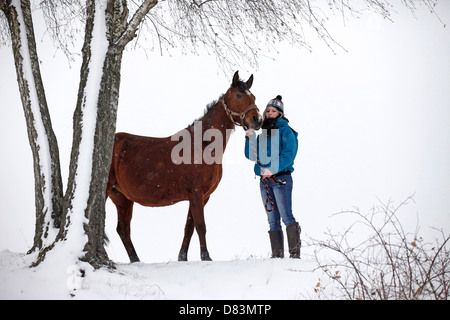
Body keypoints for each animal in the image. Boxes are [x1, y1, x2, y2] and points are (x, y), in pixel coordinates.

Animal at [106, 71, 262, 262]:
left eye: (253, 96)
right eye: (239, 95)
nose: (257, 120)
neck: (202, 144)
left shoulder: (202, 196)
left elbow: (189, 227)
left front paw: (183, 257)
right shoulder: (195, 193)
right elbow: (201, 225)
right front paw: (206, 257)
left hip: (122, 198)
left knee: (123, 230)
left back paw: (136, 260)